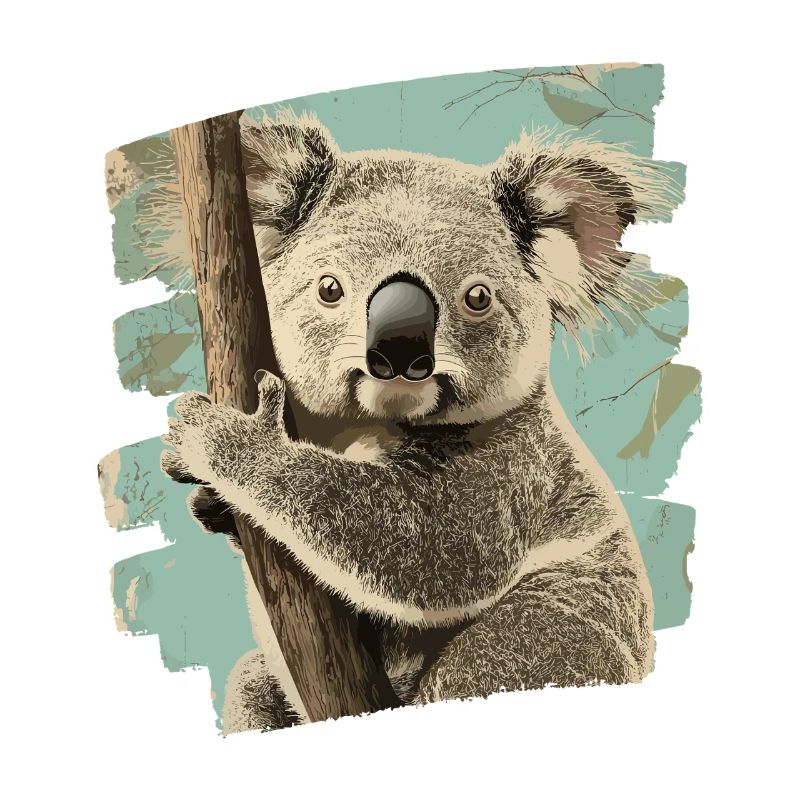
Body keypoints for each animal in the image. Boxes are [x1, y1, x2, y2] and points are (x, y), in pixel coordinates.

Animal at [161, 112, 682, 731]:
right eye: (329, 288)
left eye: (478, 297)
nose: (398, 350)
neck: (362, 427)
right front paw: (202, 493)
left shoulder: (512, 470)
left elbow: (424, 547)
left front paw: (227, 438)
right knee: (251, 683)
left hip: (553, 639)